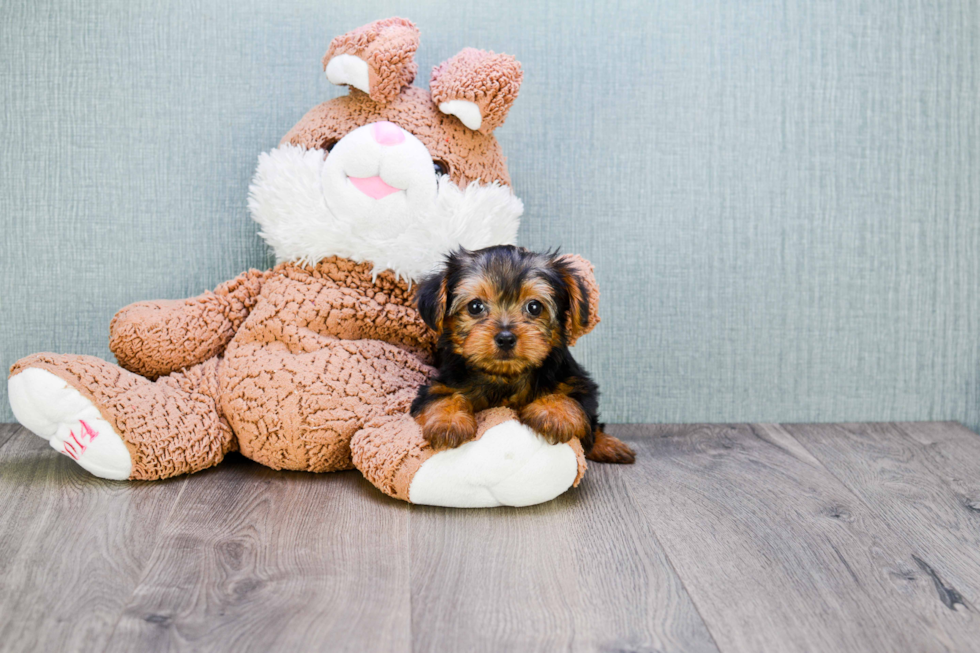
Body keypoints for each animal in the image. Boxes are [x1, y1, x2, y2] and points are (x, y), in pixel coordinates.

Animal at [408, 244, 632, 464]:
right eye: (475, 306)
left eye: (534, 307)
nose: (506, 338)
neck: (506, 376)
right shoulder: (441, 383)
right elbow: (440, 397)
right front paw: (448, 422)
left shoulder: (578, 382)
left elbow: (572, 398)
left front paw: (554, 414)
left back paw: (609, 445)